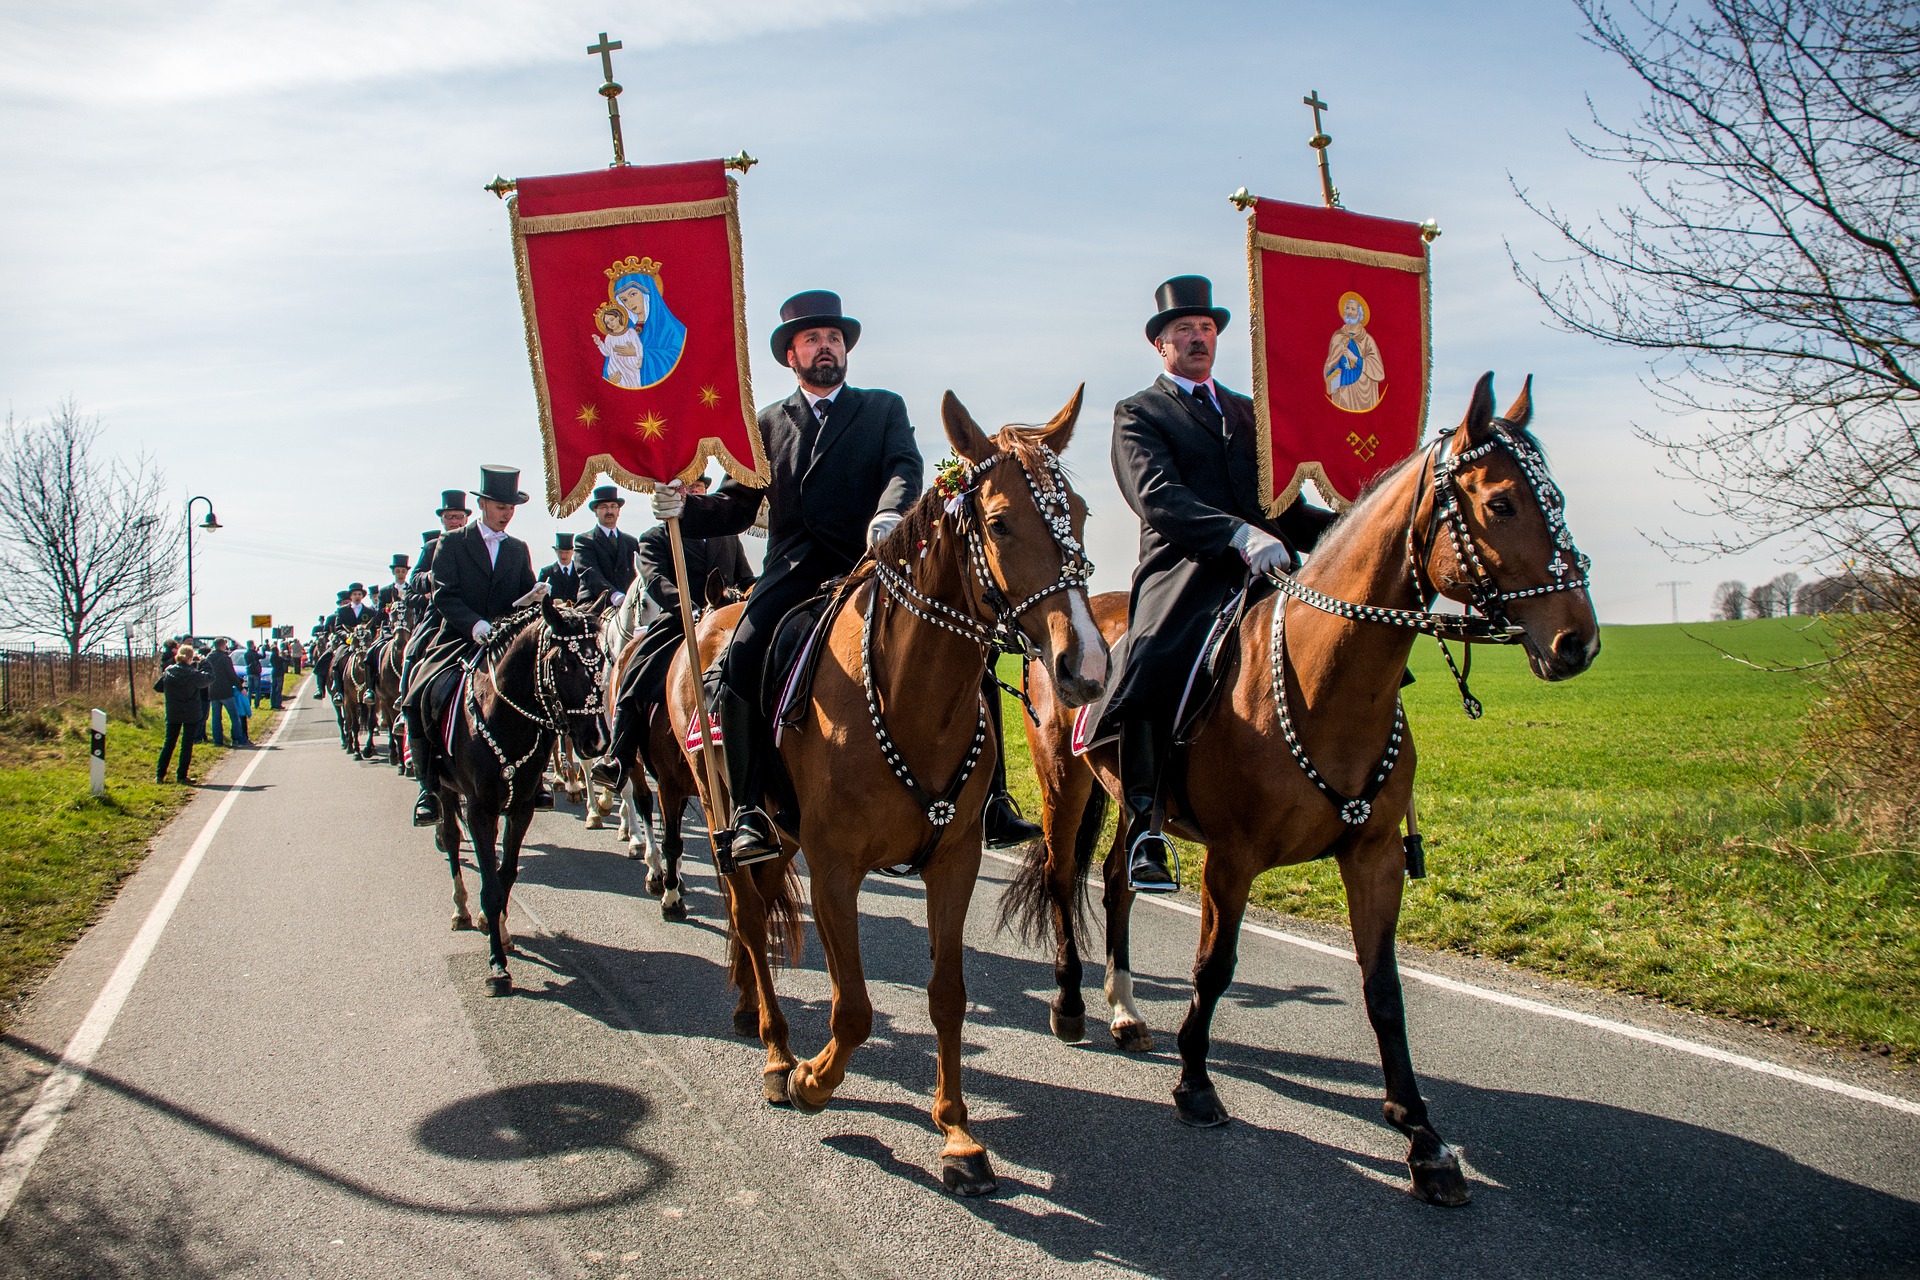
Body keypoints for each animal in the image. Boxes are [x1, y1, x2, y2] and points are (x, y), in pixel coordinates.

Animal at [439, 594, 610, 997]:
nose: (598, 739)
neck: (506, 719)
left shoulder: (520, 809)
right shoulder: (480, 810)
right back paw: (460, 908)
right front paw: (497, 967)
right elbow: (489, 883)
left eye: (602, 659)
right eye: (564, 663)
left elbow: (505, 875)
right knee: (451, 839)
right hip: (443, 789)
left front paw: (498, 930)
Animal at [672, 385, 1113, 1197]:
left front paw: (958, 1135)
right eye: (999, 522)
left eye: (1080, 510)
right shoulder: (835, 868)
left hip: (780, 836)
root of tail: (711, 619)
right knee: (748, 923)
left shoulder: (955, 862)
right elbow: (852, 1009)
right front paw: (814, 1081)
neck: (908, 696)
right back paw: (776, 1054)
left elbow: (947, 996)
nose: (1088, 668)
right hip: (726, 822)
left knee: (760, 928)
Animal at [998, 372, 1597, 1212]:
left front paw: (1422, 1137)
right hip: (1066, 782)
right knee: (1062, 878)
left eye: (1557, 499)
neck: (1325, 679)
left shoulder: (1373, 858)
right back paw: (1071, 1008)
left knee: (1118, 880)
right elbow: (1214, 967)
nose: (1578, 642)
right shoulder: (1233, 860)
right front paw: (1195, 1084)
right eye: (1503, 503)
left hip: (1135, 805)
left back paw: (1125, 1011)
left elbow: (1383, 991)